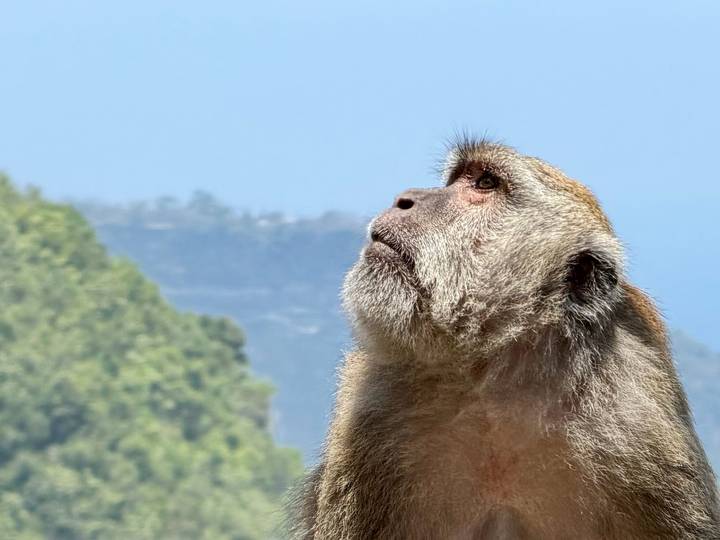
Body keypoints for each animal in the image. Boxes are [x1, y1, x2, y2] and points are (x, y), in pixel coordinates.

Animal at [289, 139, 720, 539]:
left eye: (485, 183)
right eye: (457, 178)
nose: (404, 199)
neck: (498, 384)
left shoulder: (643, 426)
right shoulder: (369, 412)